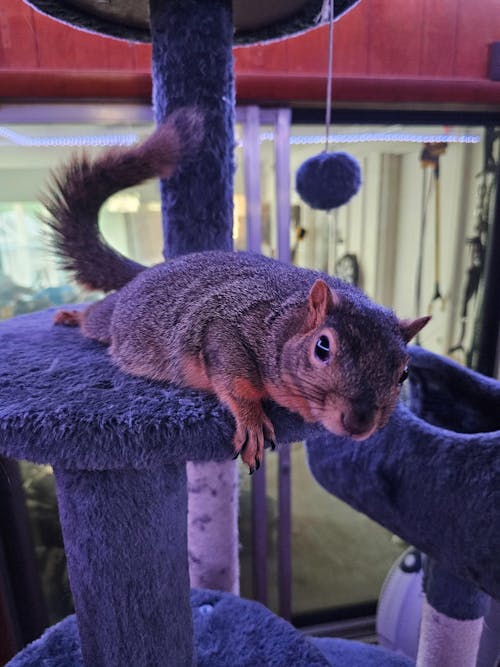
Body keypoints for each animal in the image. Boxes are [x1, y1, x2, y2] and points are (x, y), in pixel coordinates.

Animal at [43, 108, 429, 473]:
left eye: (404, 373)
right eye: (322, 348)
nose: (359, 423)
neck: (286, 319)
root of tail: (148, 272)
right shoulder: (226, 329)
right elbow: (235, 381)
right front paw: (252, 420)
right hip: (112, 320)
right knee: (95, 316)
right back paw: (72, 315)